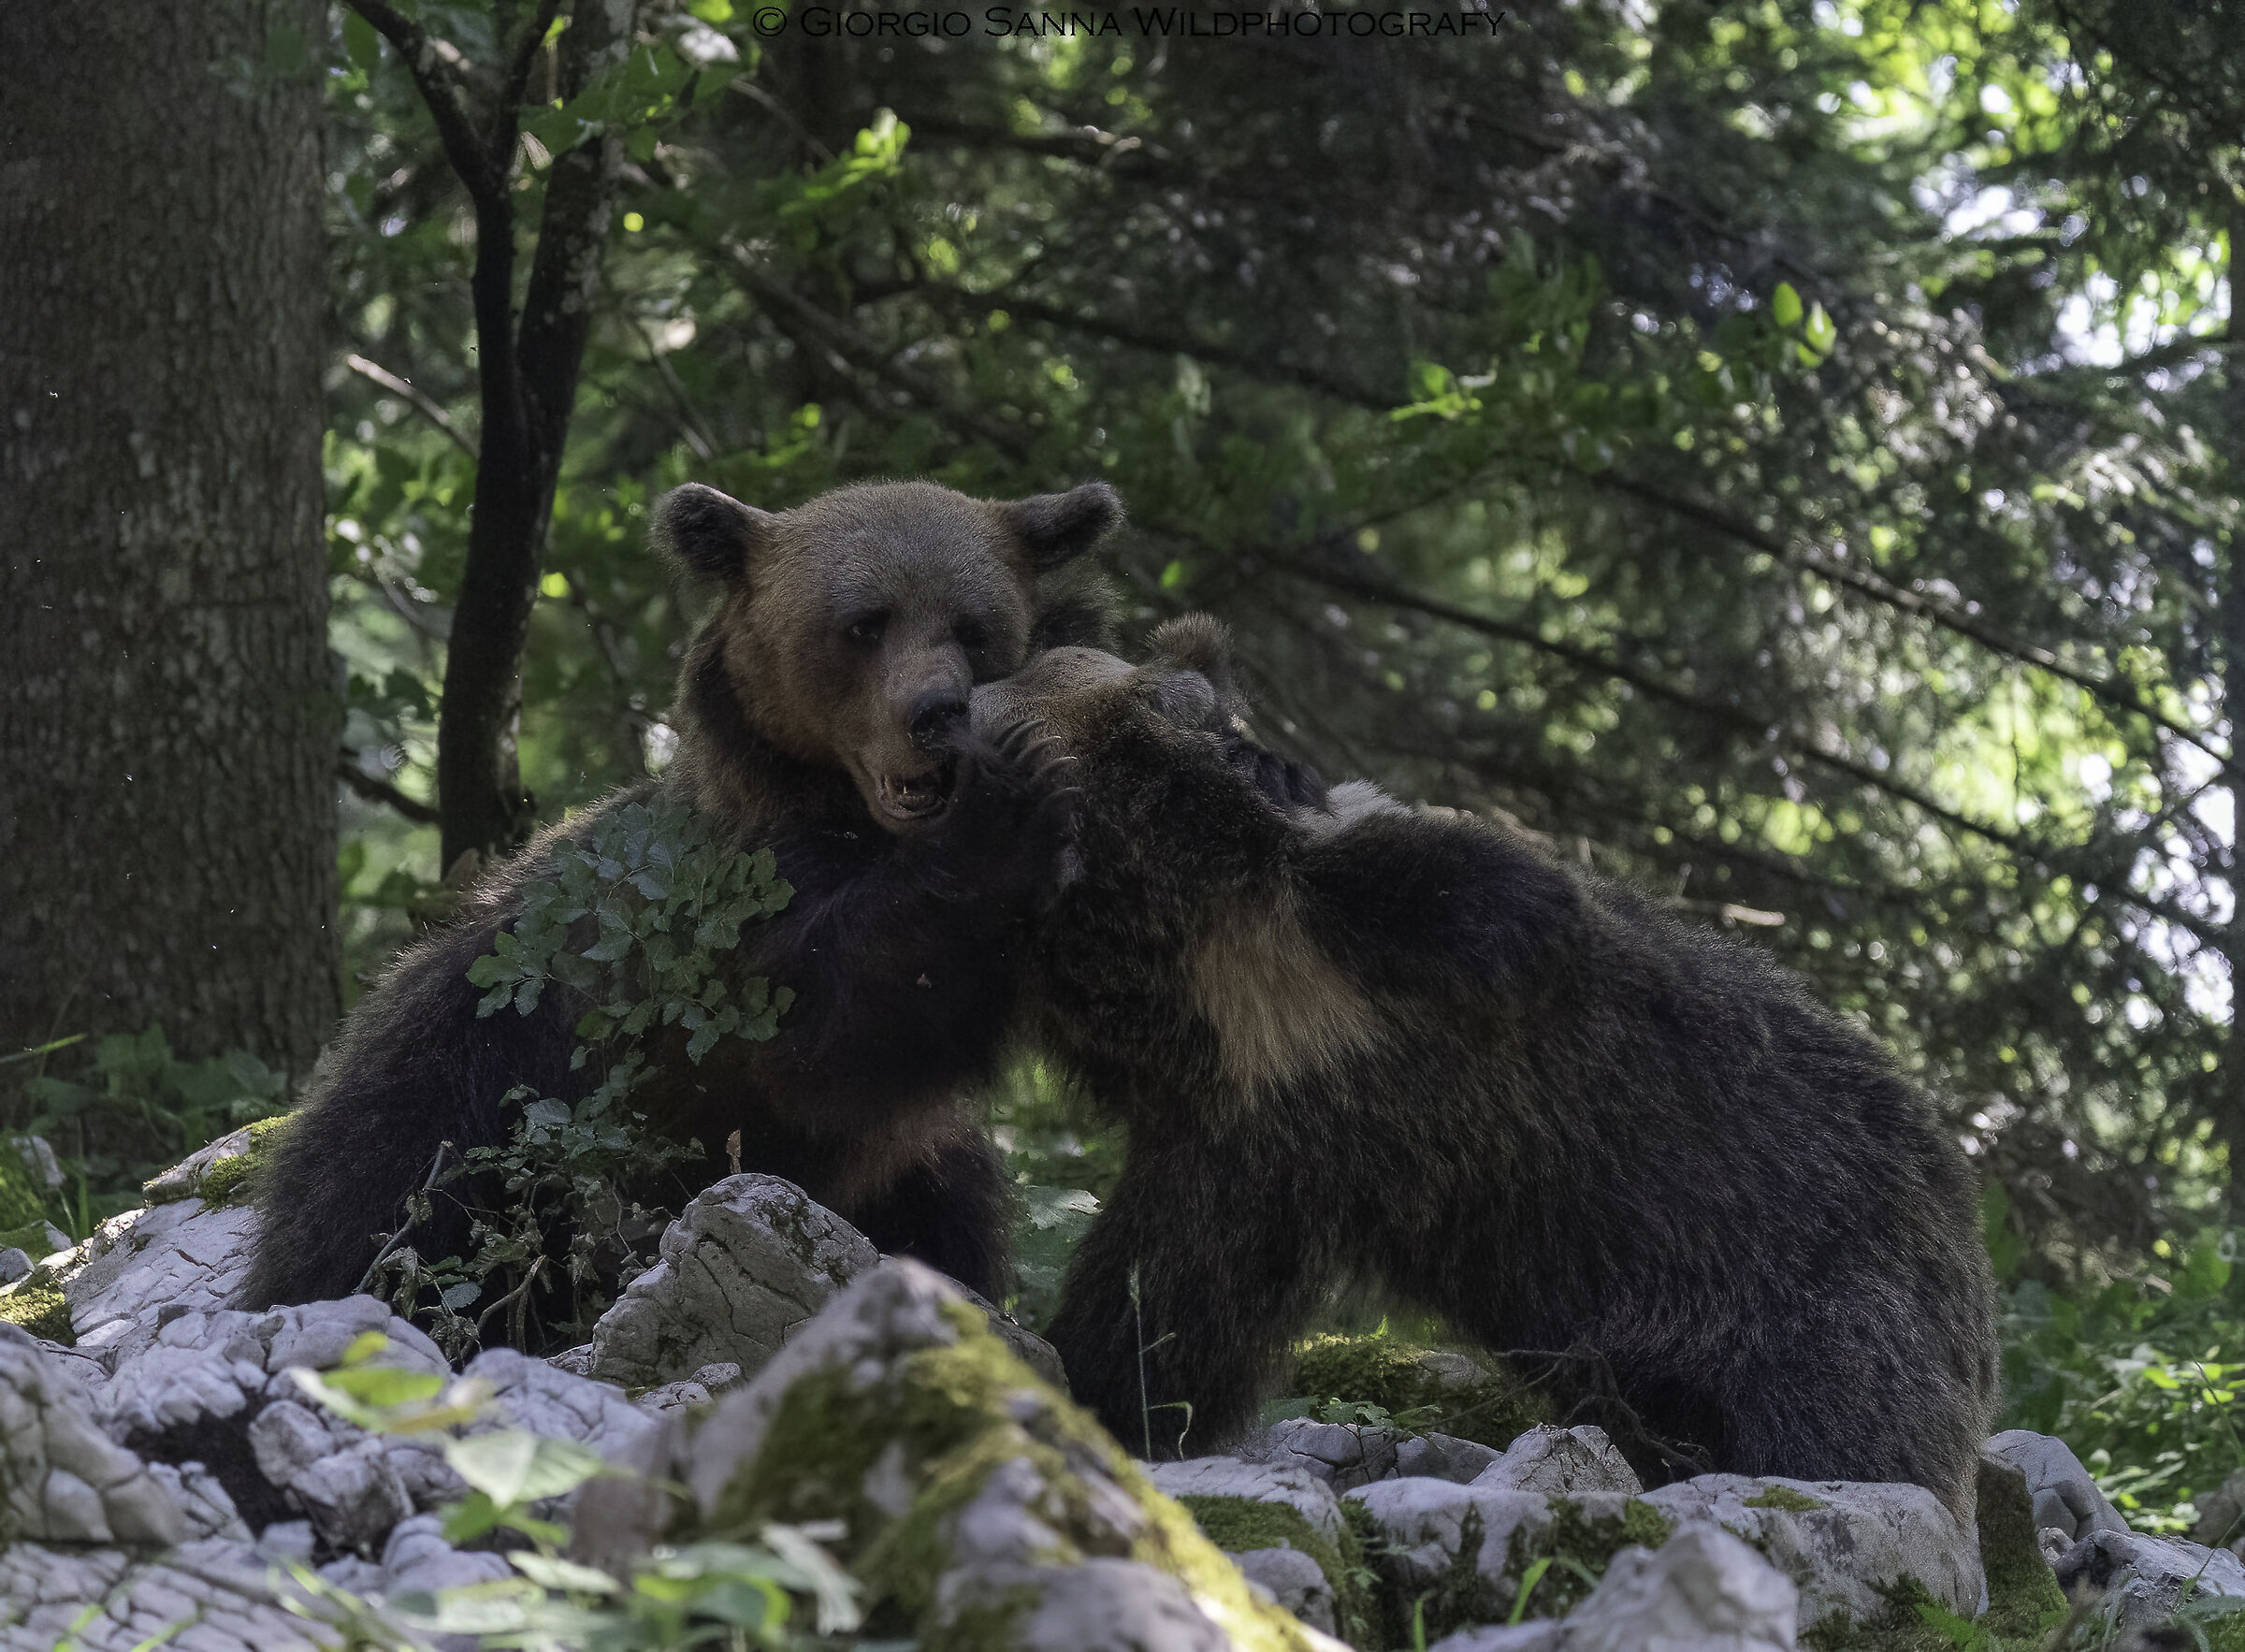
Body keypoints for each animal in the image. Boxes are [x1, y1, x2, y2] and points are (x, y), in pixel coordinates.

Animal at [240, 478, 1120, 1322]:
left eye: (973, 627)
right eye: (865, 624)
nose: (934, 713)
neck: (839, 814)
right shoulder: (716, 929)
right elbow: (832, 1016)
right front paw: (1007, 803)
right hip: (473, 1071)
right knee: (382, 1202)